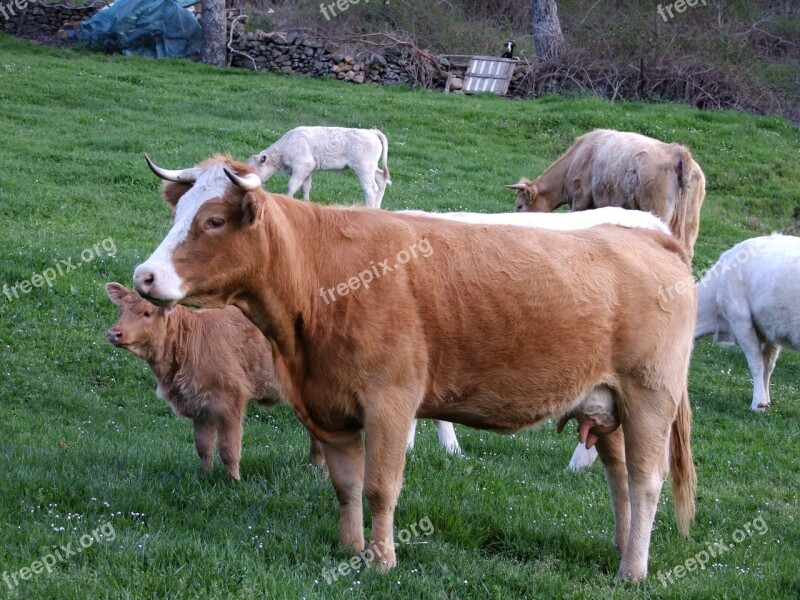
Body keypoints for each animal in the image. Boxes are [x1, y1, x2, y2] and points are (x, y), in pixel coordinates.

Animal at [104, 280, 324, 478]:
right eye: (121, 310)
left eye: (147, 313)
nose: (114, 333)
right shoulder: (199, 405)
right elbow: (203, 447)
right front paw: (203, 478)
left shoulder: (229, 400)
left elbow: (229, 448)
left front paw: (235, 482)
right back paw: (314, 467)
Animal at [134, 155, 696, 580]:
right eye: (177, 214)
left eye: (213, 220)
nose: (145, 275)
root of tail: (647, 235)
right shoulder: (328, 405)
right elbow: (346, 484)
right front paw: (349, 548)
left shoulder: (390, 401)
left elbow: (380, 487)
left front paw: (381, 560)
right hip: (608, 404)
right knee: (619, 478)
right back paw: (623, 551)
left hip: (650, 397)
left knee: (646, 482)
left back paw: (633, 572)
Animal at [247, 125, 390, 207]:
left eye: (252, 170)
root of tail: (372, 132)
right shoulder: (308, 170)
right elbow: (305, 188)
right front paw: (305, 203)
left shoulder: (302, 166)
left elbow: (292, 186)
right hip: (371, 168)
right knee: (381, 179)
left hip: (363, 169)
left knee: (371, 189)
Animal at [692, 234, 800, 412]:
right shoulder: (769, 328)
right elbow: (768, 366)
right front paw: (766, 400)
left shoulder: (740, 319)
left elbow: (756, 363)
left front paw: (758, 404)